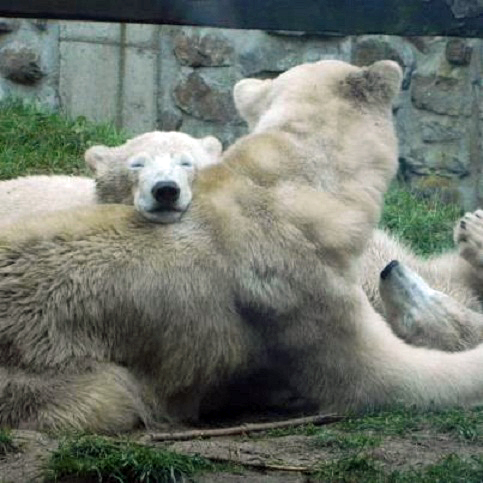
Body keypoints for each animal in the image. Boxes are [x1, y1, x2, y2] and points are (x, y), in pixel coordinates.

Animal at [0, 58, 483, 432]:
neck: (291, 185)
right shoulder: (302, 290)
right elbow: (382, 377)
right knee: (110, 396)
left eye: (187, 164)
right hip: (54, 372)